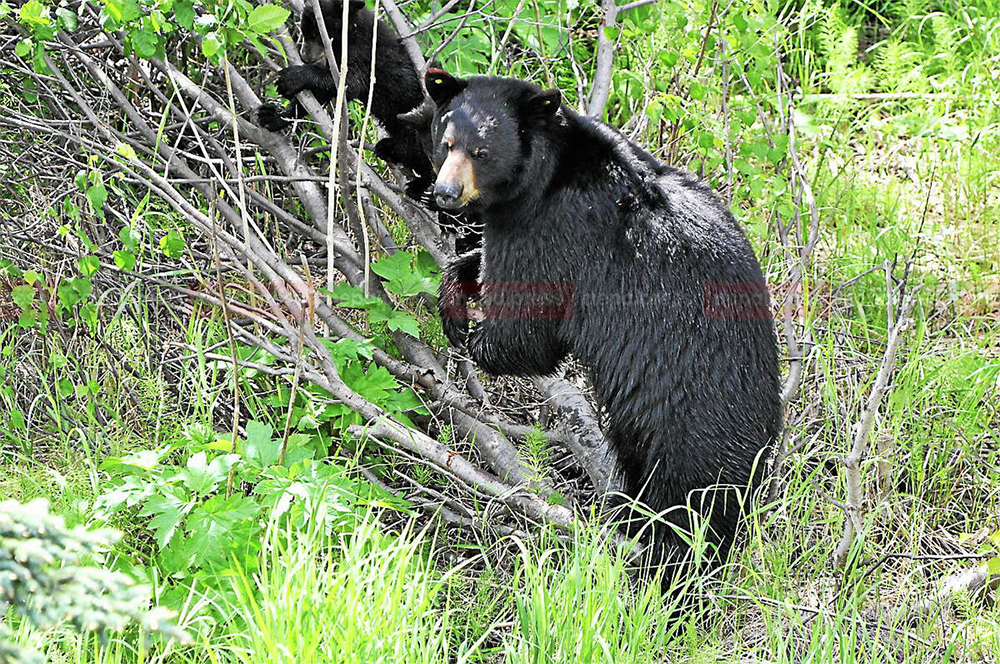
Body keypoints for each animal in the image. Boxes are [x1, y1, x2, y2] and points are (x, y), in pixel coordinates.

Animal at [256, 0, 428, 176]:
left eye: (316, 34)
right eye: (304, 31)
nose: (304, 56)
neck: (352, 32)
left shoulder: (364, 54)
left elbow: (349, 82)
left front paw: (293, 77)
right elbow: (321, 93)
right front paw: (275, 116)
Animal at [428, 71, 780, 572]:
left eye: (482, 152)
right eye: (447, 142)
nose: (445, 194)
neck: (548, 175)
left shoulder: (555, 231)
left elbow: (529, 324)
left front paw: (479, 339)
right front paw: (454, 296)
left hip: (694, 426)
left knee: (695, 501)